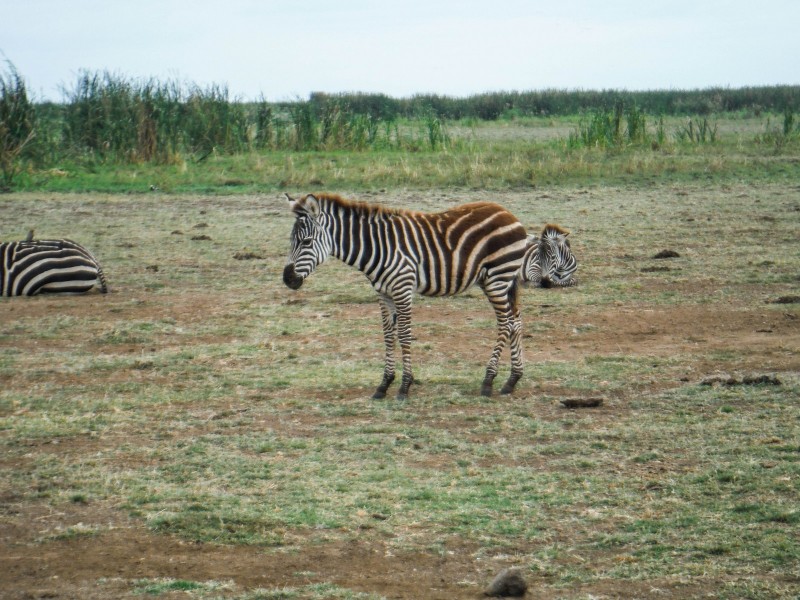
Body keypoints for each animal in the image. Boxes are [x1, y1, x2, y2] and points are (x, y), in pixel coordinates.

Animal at [282, 193, 575, 400]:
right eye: (291, 242)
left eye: (306, 242)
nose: (287, 279)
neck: (377, 247)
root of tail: (510, 215)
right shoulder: (383, 293)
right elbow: (388, 335)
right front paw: (383, 385)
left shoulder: (402, 287)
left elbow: (404, 334)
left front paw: (404, 387)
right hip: (500, 280)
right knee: (516, 322)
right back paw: (512, 380)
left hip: (497, 278)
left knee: (505, 324)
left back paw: (488, 381)